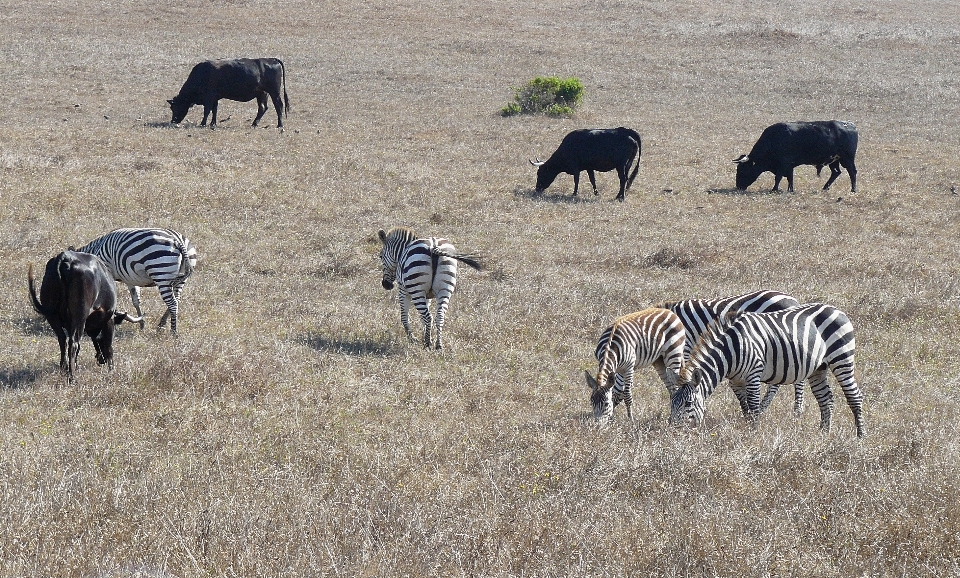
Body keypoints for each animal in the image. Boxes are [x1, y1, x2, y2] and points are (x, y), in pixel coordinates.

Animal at [28, 249, 142, 378]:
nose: (101, 360)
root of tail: (65, 257)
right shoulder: (109, 320)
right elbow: (109, 347)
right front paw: (111, 371)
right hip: (80, 316)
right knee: (73, 343)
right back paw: (72, 377)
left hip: (52, 316)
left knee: (63, 339)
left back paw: (64, 368)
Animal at [672, 304, 868, 434]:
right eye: (671, 403)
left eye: (688, 403)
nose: (672, 431)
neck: (730, 350)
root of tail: (837, 310)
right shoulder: (735, 381)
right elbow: (745, 407)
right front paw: (747, 430)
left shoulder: (753, 374)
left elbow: (753, 407)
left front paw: (753, 435)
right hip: (818, 368)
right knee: (826, 399)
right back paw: (823, 434)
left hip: (841, 358)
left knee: (854, 396)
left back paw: (860, 436)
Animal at [732, 120, 860, 192]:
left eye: (743, 170)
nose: (738, 187)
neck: (773, 139)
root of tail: (851, 126)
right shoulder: (789, 166)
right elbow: (790, 177)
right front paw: (790, 190)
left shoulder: (784, 164)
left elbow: (778, 177)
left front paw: (774, 189)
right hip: (834, 161)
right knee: (836, 172)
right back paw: (825, 188)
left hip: (847, 159)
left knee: (852, 172)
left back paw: (853, 189)